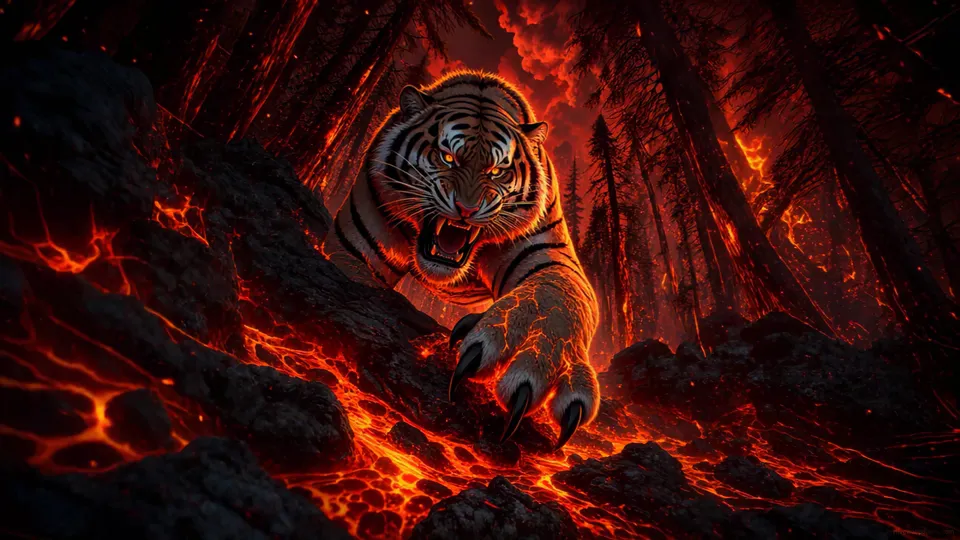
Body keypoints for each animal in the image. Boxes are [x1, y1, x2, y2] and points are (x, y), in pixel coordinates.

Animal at [323, 71, 600, 450]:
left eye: (497, 171)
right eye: (448, 158)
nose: (466, 209)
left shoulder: (551, 254)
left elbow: (554, 300)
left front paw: (529, 353)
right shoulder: (351, 250)